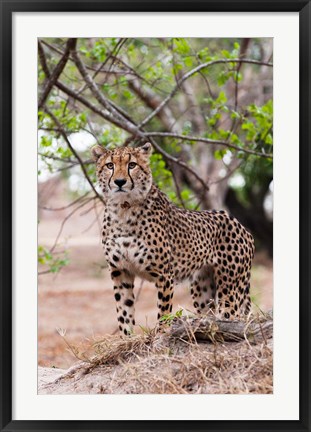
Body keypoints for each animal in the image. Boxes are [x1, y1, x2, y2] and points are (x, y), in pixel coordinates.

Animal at [92, 143, 256, 336]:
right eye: (110, 165)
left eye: (132, 165)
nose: (119, 182)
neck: (123, 209)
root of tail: (240, 225)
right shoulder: (120, 271)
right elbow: (124, 311)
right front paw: (126, 337)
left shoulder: (164, 274)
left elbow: (163, 309)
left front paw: (162, 332)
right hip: (202, 288)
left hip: (230, 288)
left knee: (231, 314)